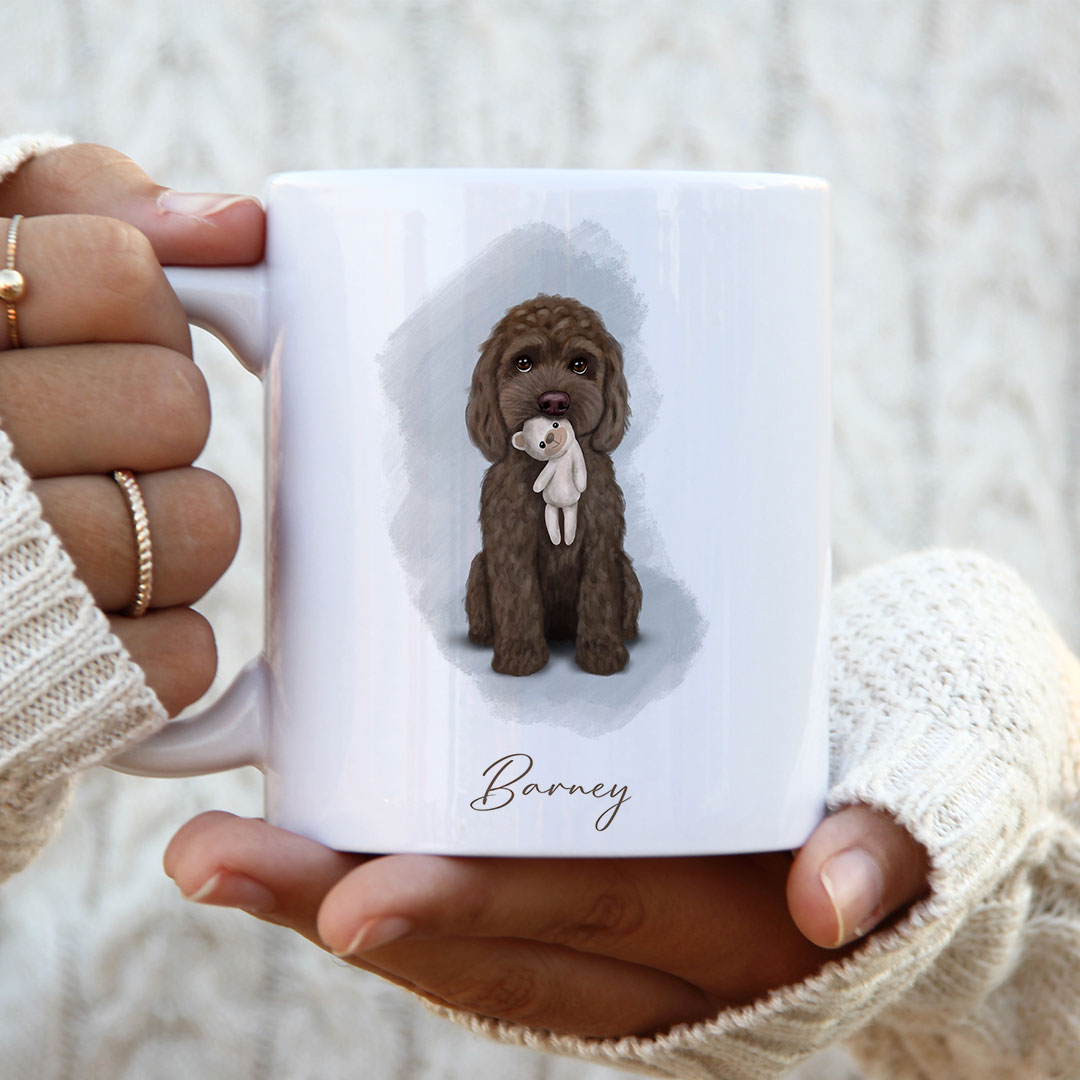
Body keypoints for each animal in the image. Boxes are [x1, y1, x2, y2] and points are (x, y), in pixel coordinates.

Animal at [466, 295, 639, 673]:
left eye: (579, 364)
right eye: (523, 363)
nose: (554, 402)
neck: (549, 464)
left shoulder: (601, 546)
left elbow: (599, 596)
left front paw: (602, 651)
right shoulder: (511, 548)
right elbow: (518, 596)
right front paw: (519, 653)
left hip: (627, 571)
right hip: (478, 569)